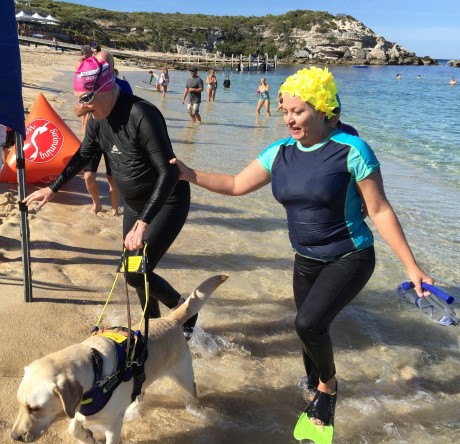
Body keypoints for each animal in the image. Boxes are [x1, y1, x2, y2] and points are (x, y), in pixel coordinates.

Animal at [10, 274, 226, 444]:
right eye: (19, 404)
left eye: (34, 408)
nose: (14, 436)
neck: (96, 371)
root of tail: (170, 319)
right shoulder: (79, 409)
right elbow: (74, 428)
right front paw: (87, 436)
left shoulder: (112, 425)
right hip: (144, 378)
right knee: (141, 393)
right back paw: (132, 410)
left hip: (183, 375)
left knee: (193, 388)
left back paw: (195, 408)